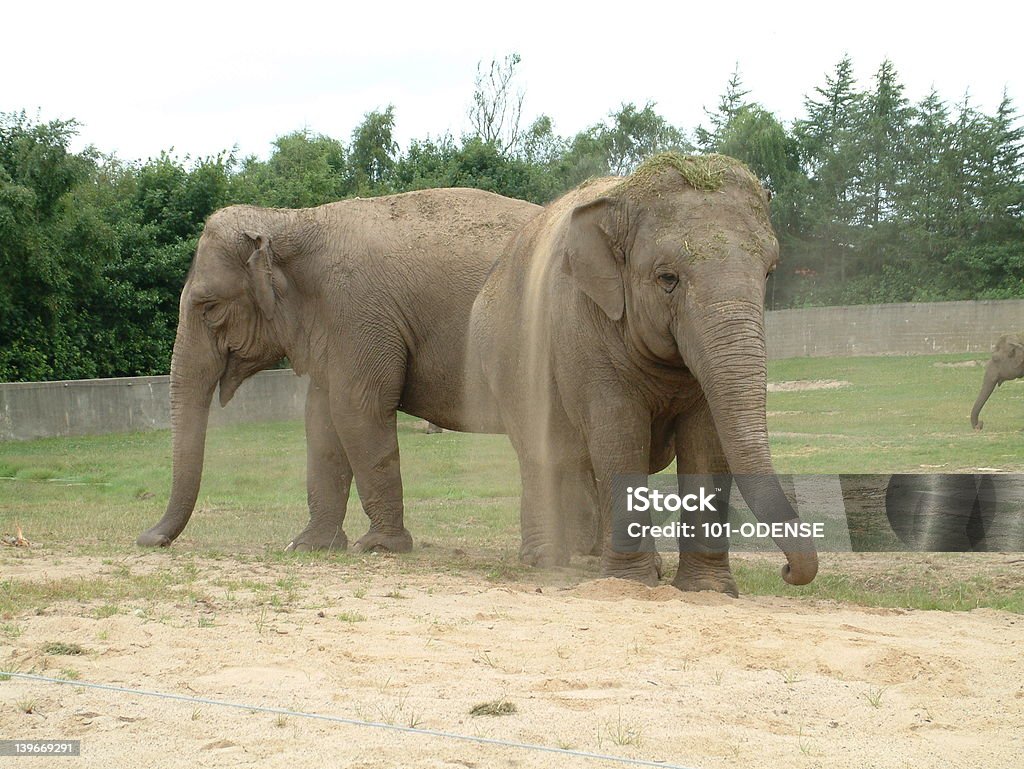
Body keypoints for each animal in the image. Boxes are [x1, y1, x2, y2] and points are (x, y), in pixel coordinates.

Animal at [136, 191, 544, 552]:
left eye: (210, 307)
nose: (148, 540)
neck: (293, 220)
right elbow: (320, 418)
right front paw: (307, 545)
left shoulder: (358, 314)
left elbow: (356, 409)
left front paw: (378, 546)